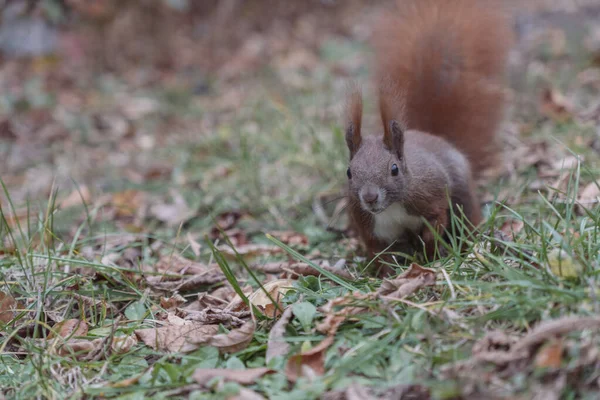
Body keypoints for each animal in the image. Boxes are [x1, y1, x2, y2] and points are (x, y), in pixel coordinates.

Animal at [344, 0, 512, 268]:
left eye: (394, 169)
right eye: (349, 172)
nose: (369, 197)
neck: (392, 207)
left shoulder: (432, 195)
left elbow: (437, 220)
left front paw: (431, 249)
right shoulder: (368, 224)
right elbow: (378, 250)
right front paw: (384, 271)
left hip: (463, 197)